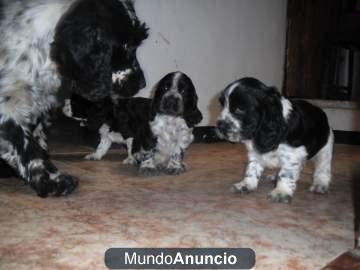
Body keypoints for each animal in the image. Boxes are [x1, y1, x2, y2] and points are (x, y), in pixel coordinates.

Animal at [0, 0, 148, 198]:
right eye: (129, 46)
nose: (142, 83)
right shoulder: (7, 105)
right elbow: (25, 145)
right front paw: (53, 182)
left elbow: (37, 139)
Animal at [65, 71, 204, 176]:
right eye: (165, 88)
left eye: (184, 91)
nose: (170, 99)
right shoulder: (147, 135)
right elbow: (102, 147)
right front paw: (95, 155)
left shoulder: (183, 137)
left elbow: (176, 153)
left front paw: (174, 167)